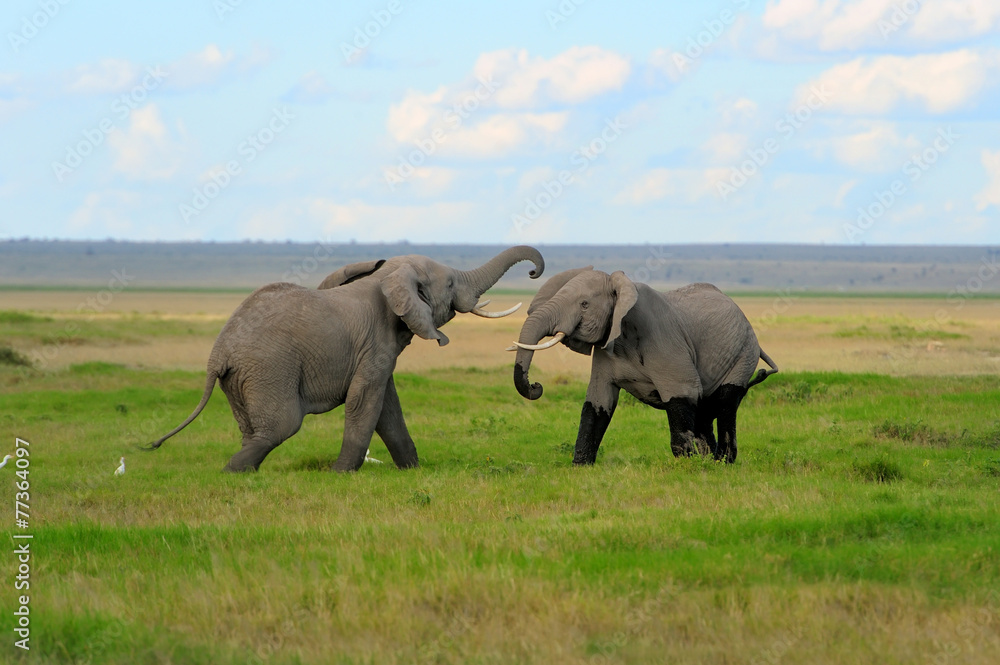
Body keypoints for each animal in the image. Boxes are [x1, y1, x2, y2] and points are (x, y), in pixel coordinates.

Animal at [146, 246, 545, 472]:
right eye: (449, 285)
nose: (533, 271)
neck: (386, 277)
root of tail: (218, 353)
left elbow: (387, 407)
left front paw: (413, 470)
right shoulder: (376, 343)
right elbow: (365, 402)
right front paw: (341, 474)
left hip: (241, 379)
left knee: (253, 430)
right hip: (268, 369)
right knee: (282, 426)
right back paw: (231, 472)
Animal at [509, 267, 777, 465]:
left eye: (584, 304)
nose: (536, 386)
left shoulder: (663, 339)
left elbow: (682, 393)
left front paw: (686, 466)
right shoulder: (608, 344)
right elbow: (598, 401)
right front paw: (581, 467)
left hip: (744, 353)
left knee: (725, 402)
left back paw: (722, 462)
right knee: (704, 410)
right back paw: (709, 461)